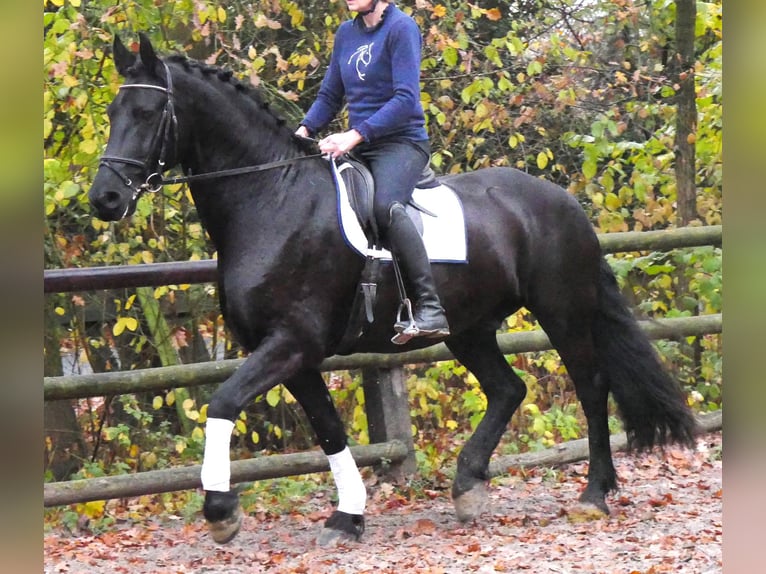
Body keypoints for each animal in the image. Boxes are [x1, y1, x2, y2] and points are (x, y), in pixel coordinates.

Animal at [88, 34, 697, 545]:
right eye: (112, 113)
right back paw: (468, 486)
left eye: (147, 113)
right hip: (469, 327)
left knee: (591, 388)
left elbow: (223, 401)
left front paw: (221, 511)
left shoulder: (291, 342)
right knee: (508, 389)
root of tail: (564, 201)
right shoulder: (292, 354)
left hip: (562, 310)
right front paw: (347, 516)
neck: (272, 198)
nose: (105, 200)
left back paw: (593, 494)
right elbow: (329, 428)